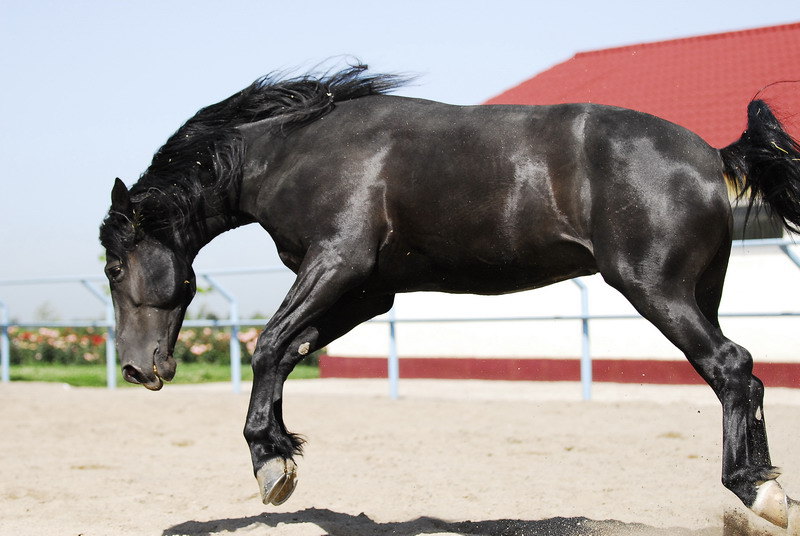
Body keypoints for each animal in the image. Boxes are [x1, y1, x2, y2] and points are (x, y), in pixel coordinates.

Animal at [100, 65, 800, 528]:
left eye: (112, 264)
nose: (138, 368)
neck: (294, 152)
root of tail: (712, 155)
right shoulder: (369, 292)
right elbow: (289, 351)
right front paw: (280, 452)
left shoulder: (337, 265)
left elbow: (269, 344)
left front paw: (270, 465)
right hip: (696, 294)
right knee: (743, 375)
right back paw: (771, 489)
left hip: (656, 290)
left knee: (731, 368)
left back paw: (756, 492)